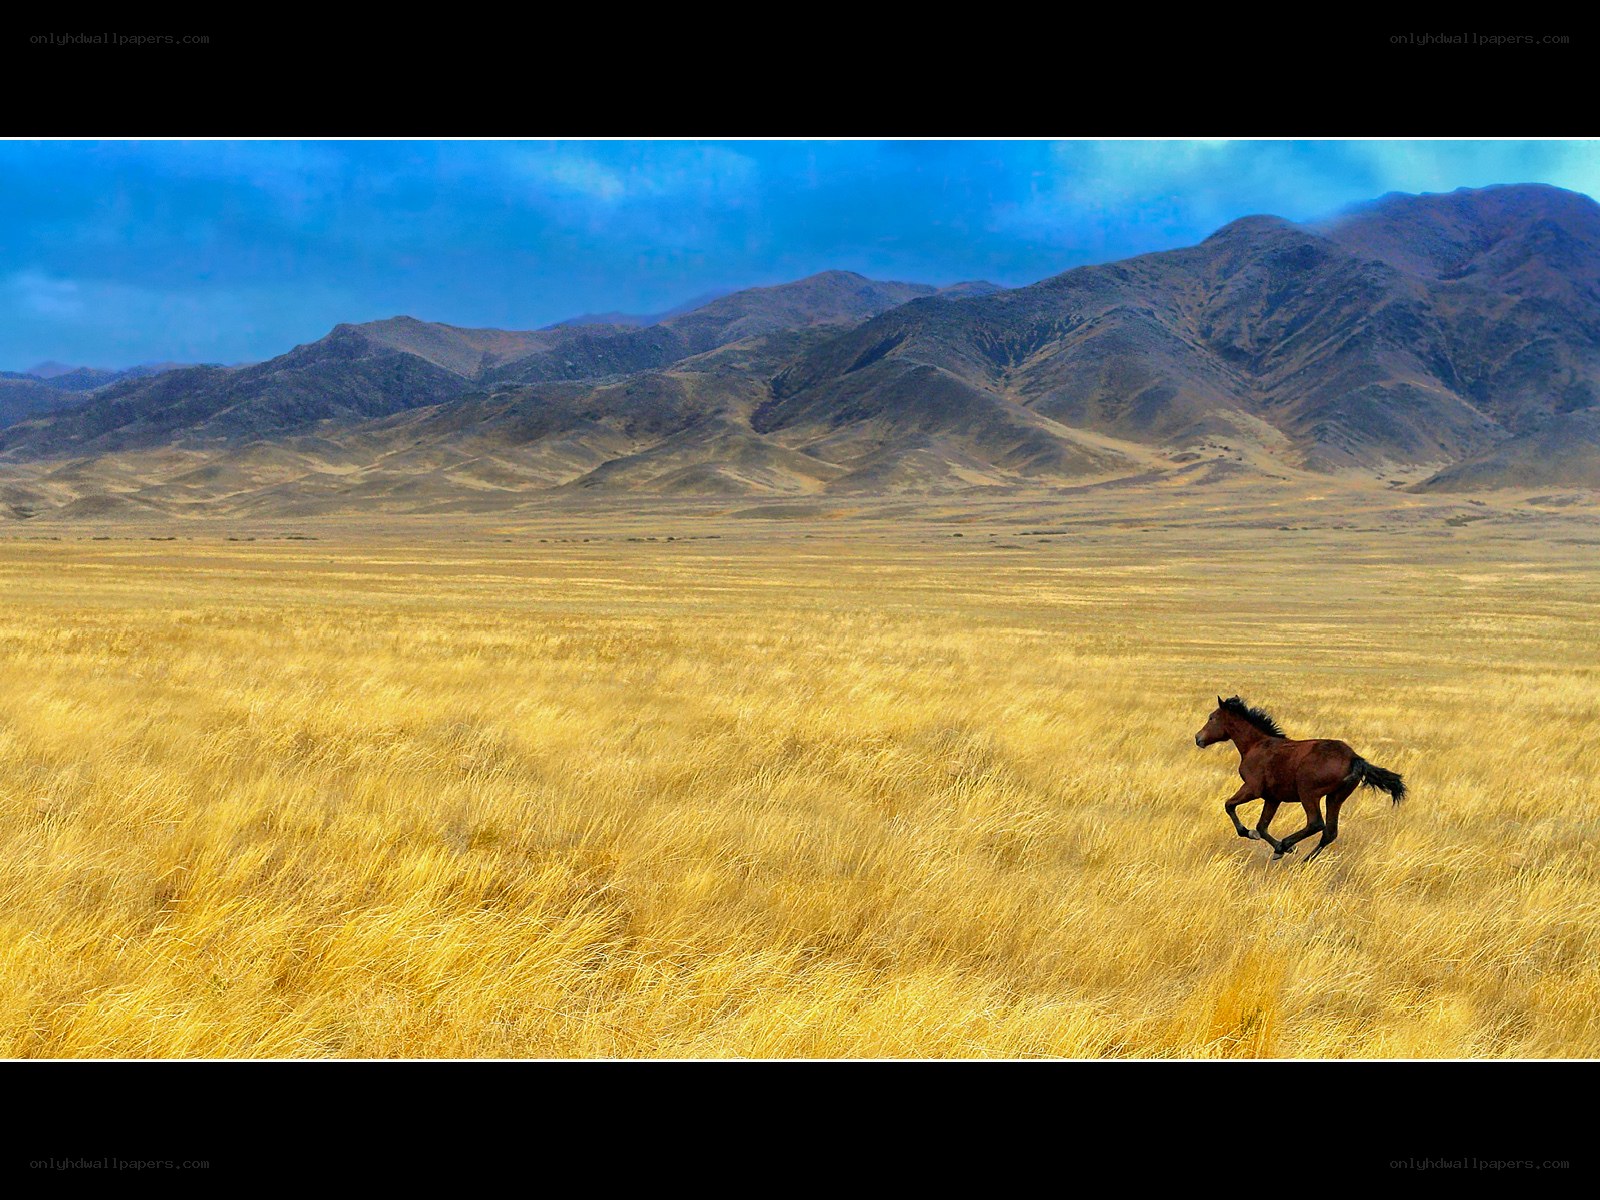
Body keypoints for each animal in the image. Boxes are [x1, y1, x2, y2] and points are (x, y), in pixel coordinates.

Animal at [1194, 695, 1406, 861]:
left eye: (1212, 718)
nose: (1198, 738)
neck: (1257, 745)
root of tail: (1354, 758)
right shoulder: (1273, 798)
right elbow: (1262, 827)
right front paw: (1280, 849)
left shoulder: (1252, 788)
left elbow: (1229, 806)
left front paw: (1256, 837)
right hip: (1335, 797)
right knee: (1330, 832)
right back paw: (1305, 860)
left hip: (1308, 793)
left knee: (1316, 823)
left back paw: (1287, 845)